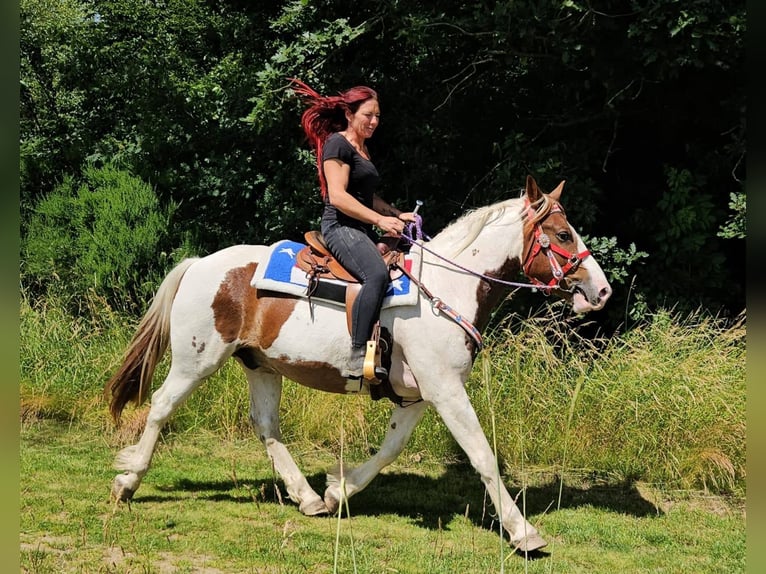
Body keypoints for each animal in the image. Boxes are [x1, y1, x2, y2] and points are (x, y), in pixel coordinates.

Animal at [105, 175, 612, 553]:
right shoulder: (445, 389)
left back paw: (308, 498)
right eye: (563, 235)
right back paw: (127, 482)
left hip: (262, 366)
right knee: (161, 407)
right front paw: (523, 531)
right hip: (197, 359)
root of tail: (198, 264)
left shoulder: (418, 394)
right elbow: (482, 455)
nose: (602, 291)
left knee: (266, 426)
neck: (445, 287)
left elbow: (390, 449)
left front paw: (337, 490)